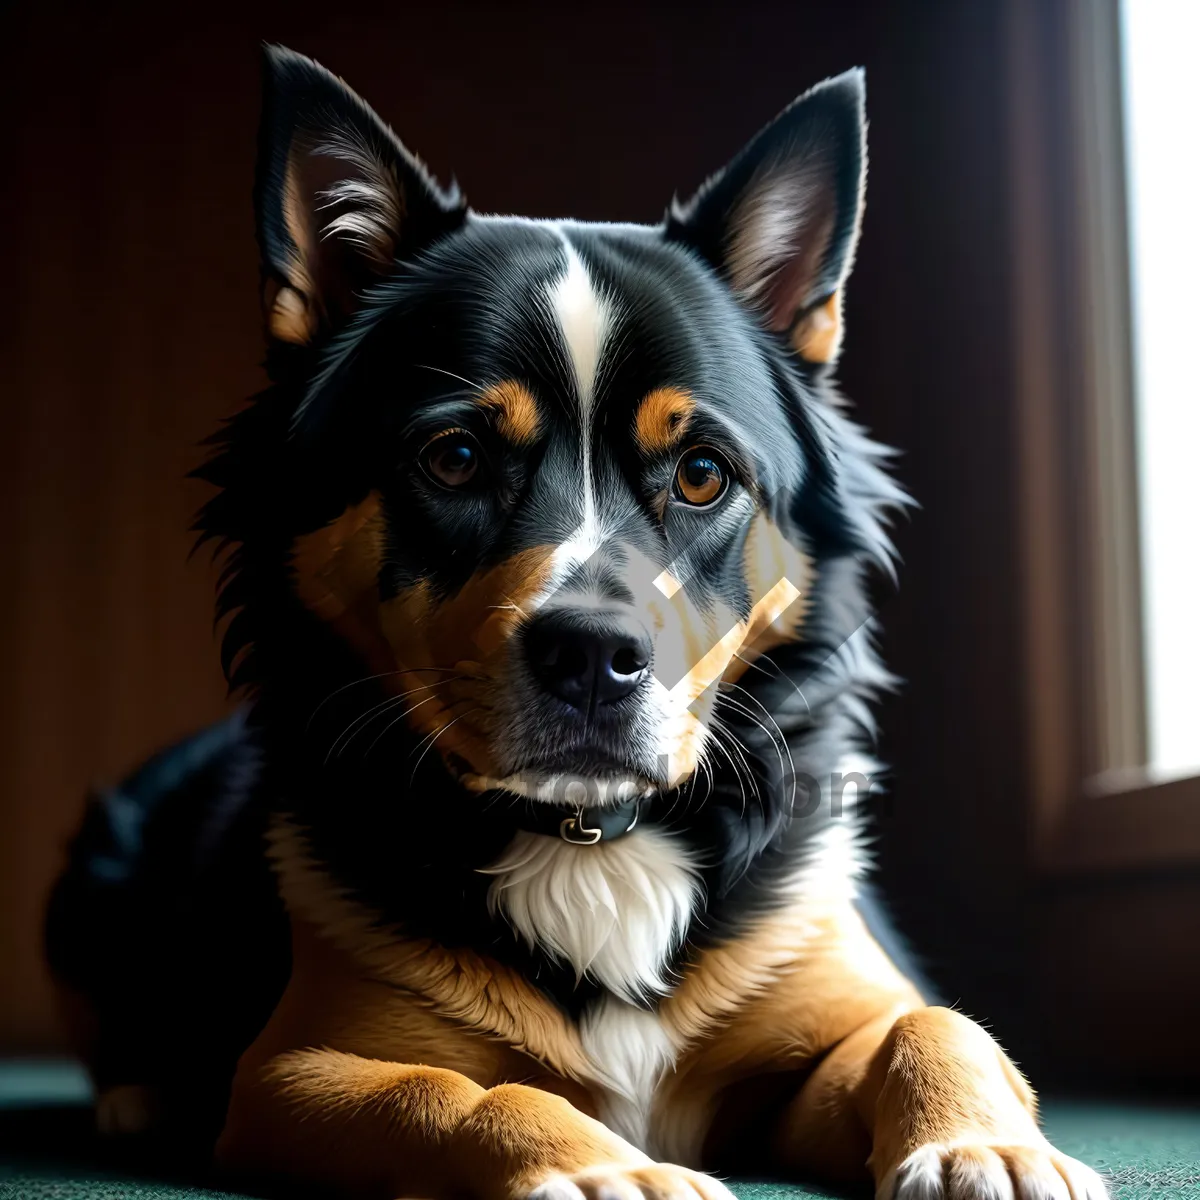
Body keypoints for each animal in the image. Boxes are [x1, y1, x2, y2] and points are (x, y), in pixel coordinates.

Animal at [49, 46, 1113, 1200]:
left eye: (702, 474)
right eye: (455, 458)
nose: (596, 658)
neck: (592, 834)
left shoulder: (820, 1019)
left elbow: (937, 1023)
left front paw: (987, 1145)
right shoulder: (294, 1069)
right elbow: (448, 1091)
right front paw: (607, 1168)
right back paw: (136, 1097)